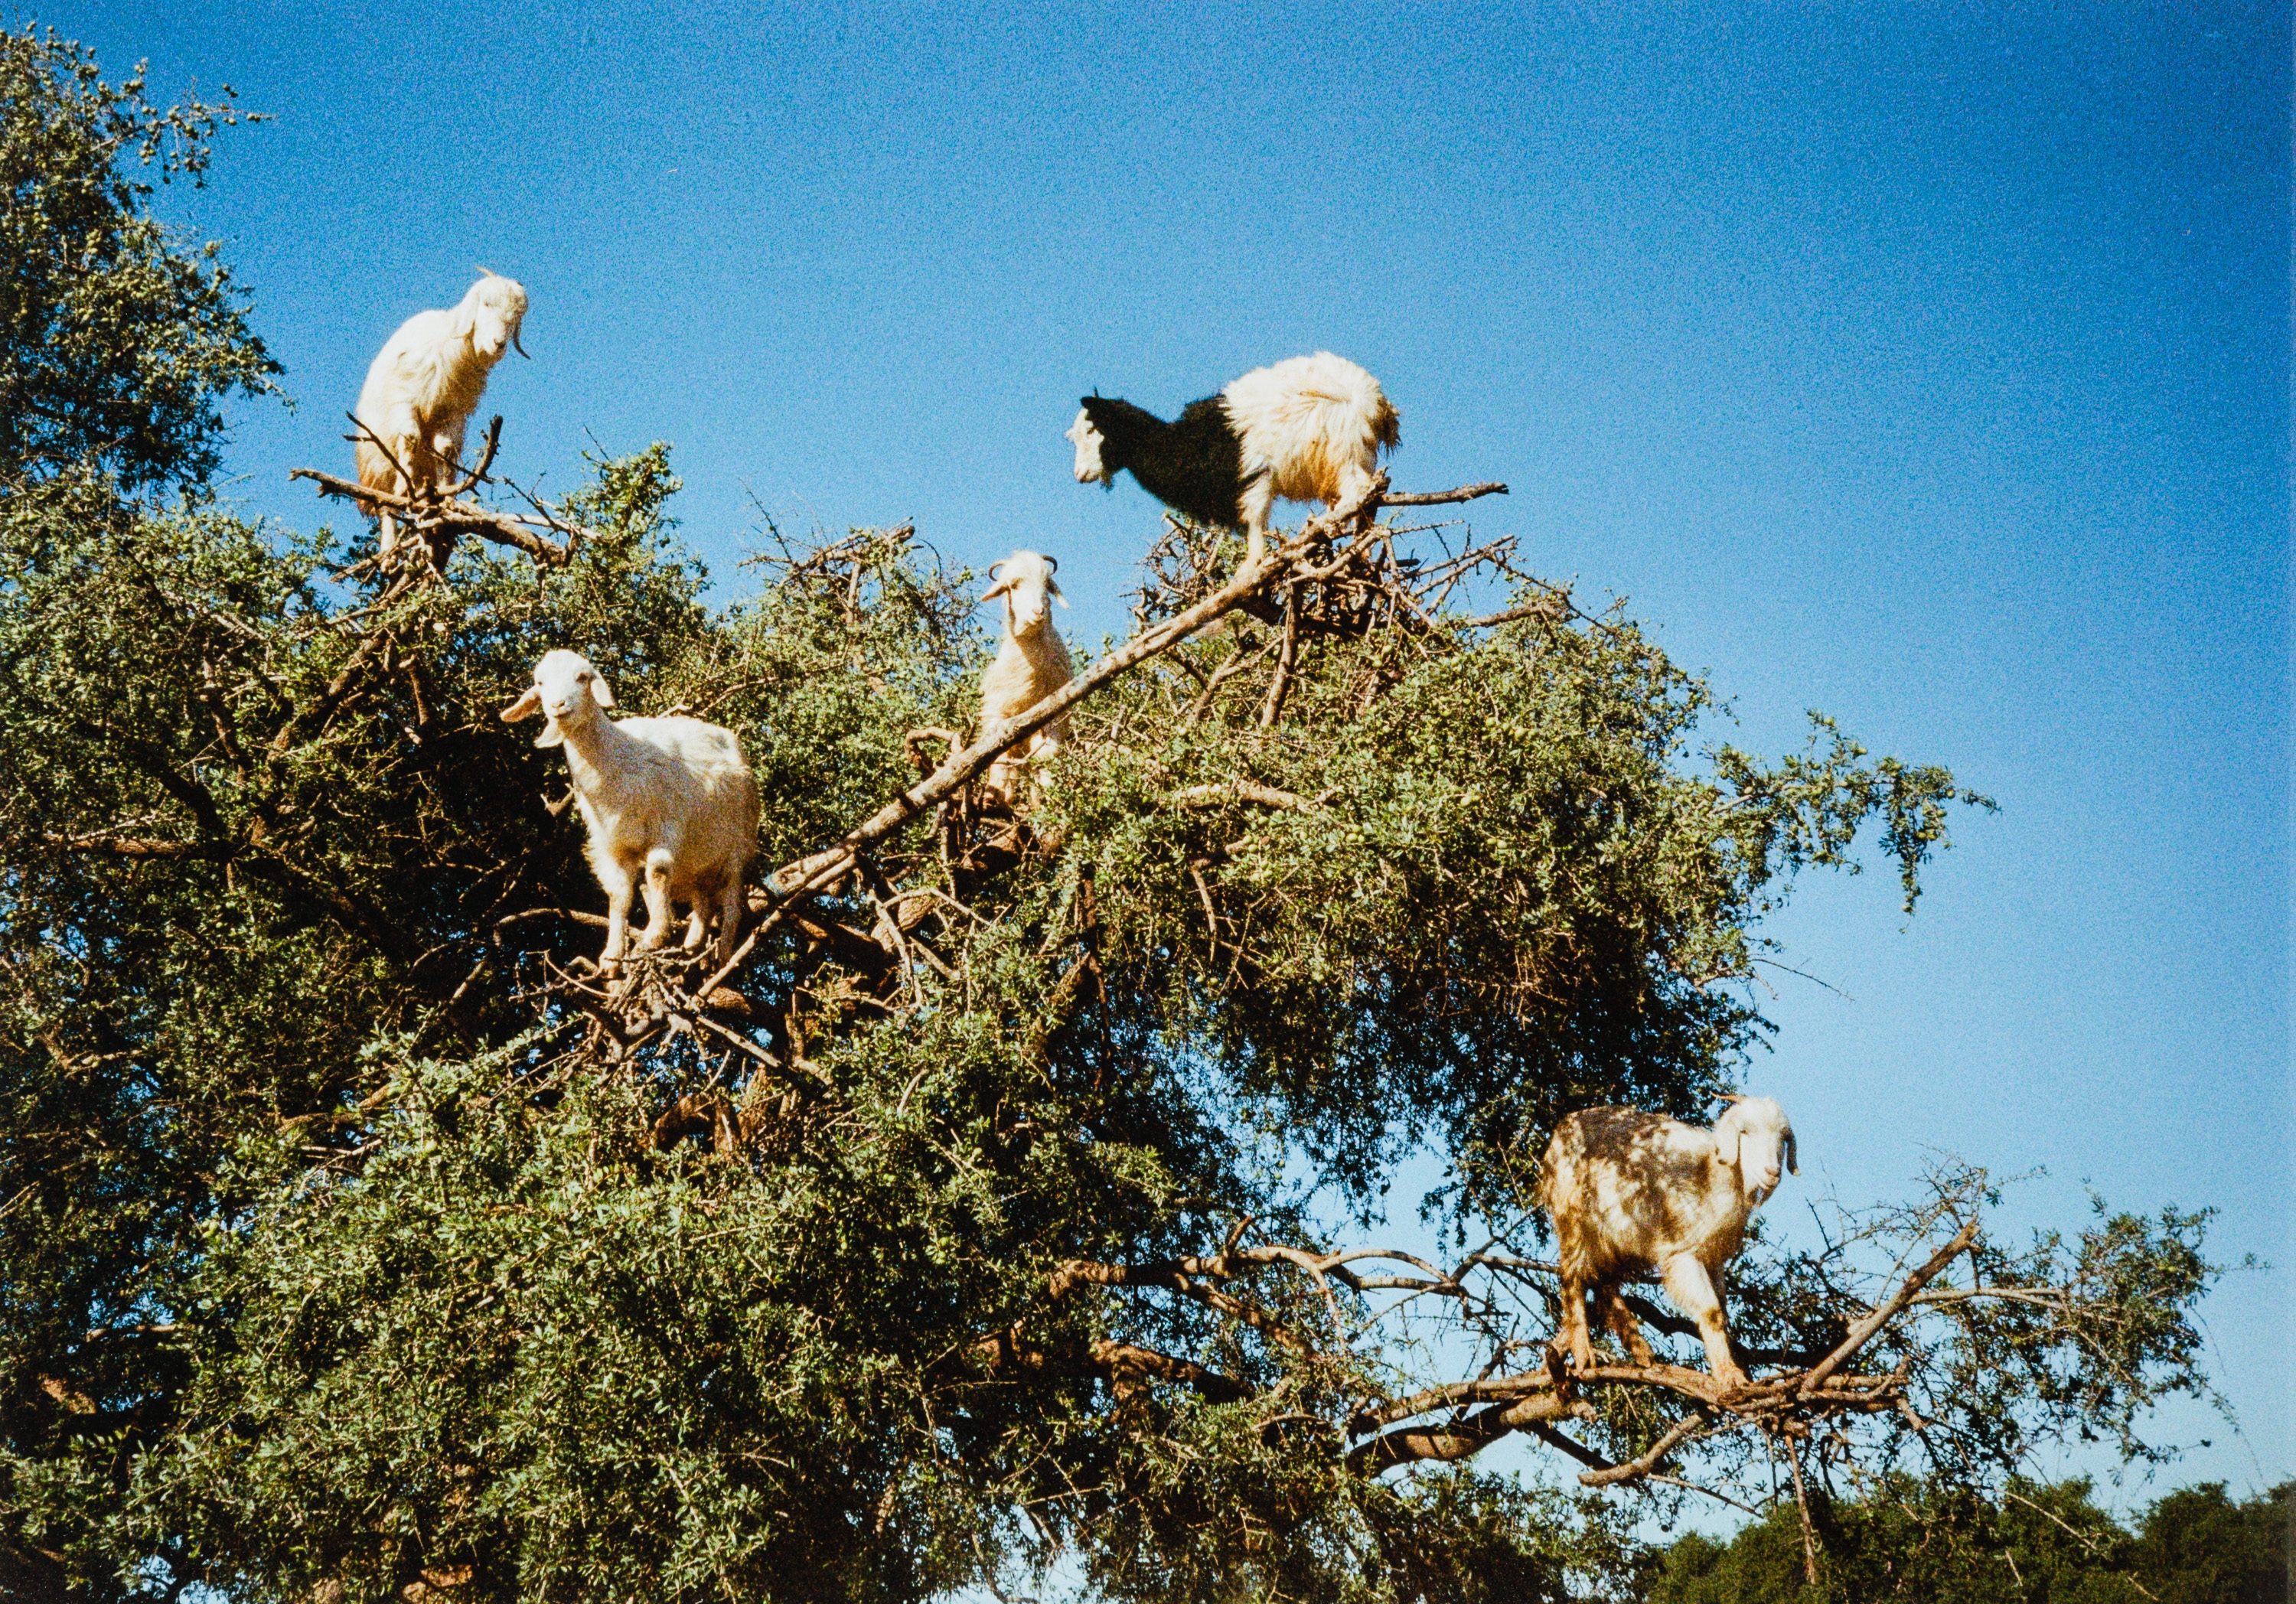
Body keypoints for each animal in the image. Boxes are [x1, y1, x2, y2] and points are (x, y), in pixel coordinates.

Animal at [354, 271, 529, 561]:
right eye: (486, 305)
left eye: (517, 315)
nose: (499, 344)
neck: (448, 343)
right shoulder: (405, 399)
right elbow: (410, 438)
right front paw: (405, 487)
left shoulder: (452, 411)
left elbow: (446, 449)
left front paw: (448, 496)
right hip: (377, 463)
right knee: (386, 506)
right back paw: (389, 552)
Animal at [500, 650, 759, 974]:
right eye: (540, 682)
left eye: (582, 678)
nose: (558, 705)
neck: (617, 757)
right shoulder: (612, 843)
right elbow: (618, 895)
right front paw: (612, 956)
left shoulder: (668, 823)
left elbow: (657, 871)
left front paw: (655, 935)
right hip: (699, 861)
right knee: (704, 903)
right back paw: (691, 948)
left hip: (739, 845)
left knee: (732, 902)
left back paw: (723, 955)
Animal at [976, 551, 1071, 808]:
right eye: (1013, 586)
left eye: (1046, 585)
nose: (1039, 612)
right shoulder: (996, 713)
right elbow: (999, 756)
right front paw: (992, 796)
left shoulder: (1053, 716)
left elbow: (1046, 756)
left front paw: (1047, 799)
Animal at [1066, 352, 1400, 566]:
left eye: (1092, 430)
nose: (1079, 475)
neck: (1185, 443)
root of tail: (1378, 403)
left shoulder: (1257, 479)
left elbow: (1255, 530)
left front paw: (1248, 574)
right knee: (1368, 502)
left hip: (1345, 455)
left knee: (1358, 493)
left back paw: (1326, 527)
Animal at [1538, 1095, 1799, 1390]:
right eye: (1744, 1132)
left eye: (1784, 1138)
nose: (1772, 1172)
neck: (1708, 1176)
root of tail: (1560, 1130)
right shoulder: (1683, 1252)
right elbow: (1710, 1311)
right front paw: (1728, 1374)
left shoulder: (1713, 1258)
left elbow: (1721, 1310)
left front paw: (1731, 1366)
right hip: (1573, 1217)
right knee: (1572, 1278)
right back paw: (1584, 1353)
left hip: (1616, 1235)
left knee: (1604, 1284)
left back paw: (1639, 1349)